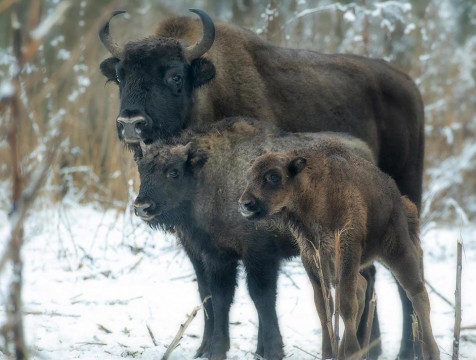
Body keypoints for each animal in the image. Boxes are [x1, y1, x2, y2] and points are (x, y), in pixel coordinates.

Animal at [134, 116, 380, 358]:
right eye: (142, 169)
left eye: (173, 171)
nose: (141, 206)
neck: (211, 177)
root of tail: (364, 154)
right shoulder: (219, 256)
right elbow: (221, 298)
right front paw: (219, 350)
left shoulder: (258, 255)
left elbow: (261, 298)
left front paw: (272, 350)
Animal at [240, 147, 440, 360]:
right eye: (248, 177)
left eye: (274, 176)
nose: (245, 204)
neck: (314, 194)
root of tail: (399, 199)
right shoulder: (312, 258)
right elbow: (323, 306)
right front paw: (328, 352)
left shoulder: (347, 251)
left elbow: (345, 304)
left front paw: (351, 350)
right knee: (362, 287)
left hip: (397, 251)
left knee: (417, 294)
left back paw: (431, 352)